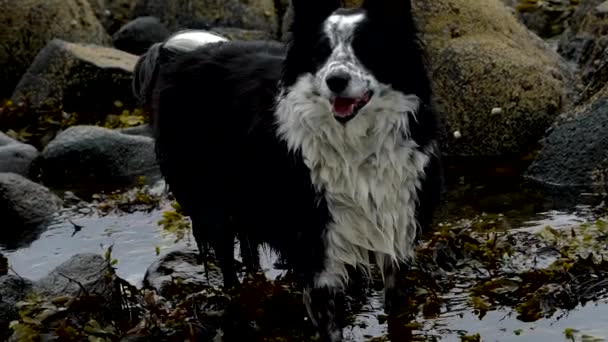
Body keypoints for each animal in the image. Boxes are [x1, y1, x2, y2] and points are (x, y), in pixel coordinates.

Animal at [134, 0, 442, 340]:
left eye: (367, 47)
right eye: (321, 51)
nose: (335, 81)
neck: (354, 146)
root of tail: (179, 53)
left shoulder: (396, 232)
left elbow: (397, 316)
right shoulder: (316, 248)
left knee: (249, 248)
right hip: (210, 201)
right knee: (227, 264)